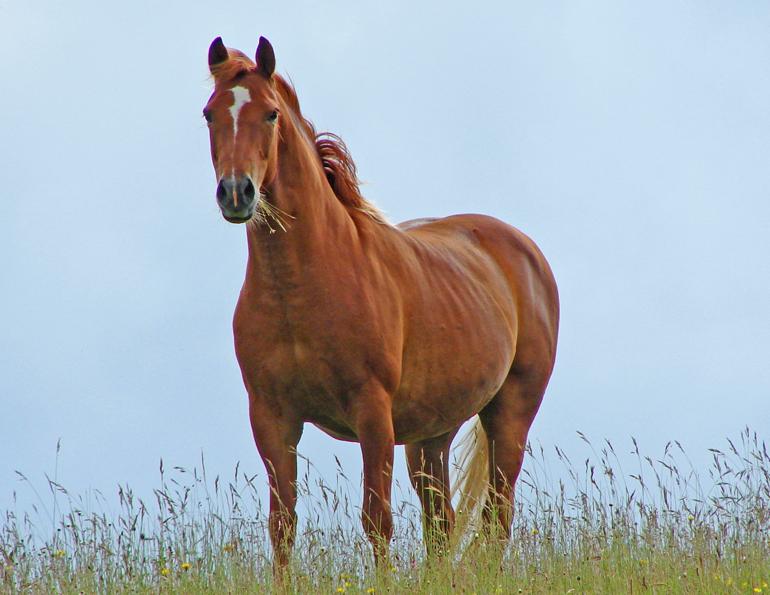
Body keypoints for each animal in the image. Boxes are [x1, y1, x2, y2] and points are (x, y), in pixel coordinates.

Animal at [202, 35, 559, 569]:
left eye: (270, 114)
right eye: (209, 113)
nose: (236, 192)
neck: (302, 286)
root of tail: (524, 251)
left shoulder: (372, 414)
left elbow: (376, 521)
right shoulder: (271, 417)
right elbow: (282, 527)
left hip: (510, 412)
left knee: (497, 515)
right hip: (431, 435)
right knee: (442, 522)